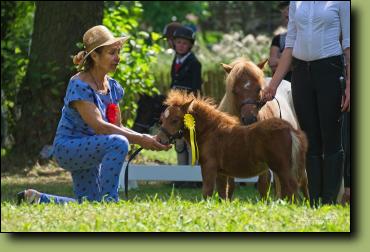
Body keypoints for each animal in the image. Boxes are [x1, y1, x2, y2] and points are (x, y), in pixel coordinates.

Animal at [159, 90, 310, 201]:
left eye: (175, 120)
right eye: (162, 119)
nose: (161, 139)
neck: (211, 132)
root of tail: (290, 129)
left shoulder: (208, 167)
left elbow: (207, 192)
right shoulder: (221, 173)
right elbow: (222, 195)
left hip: (282, 167)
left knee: (292, 187)